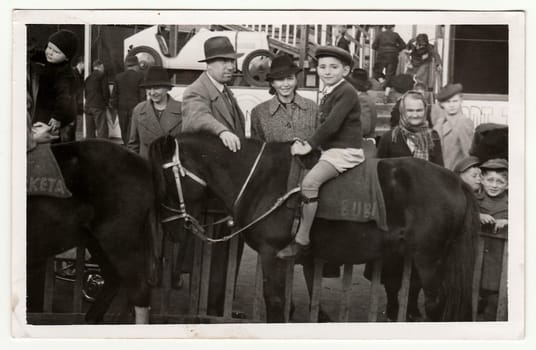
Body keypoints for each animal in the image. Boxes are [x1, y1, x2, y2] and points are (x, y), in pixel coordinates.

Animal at [149, 133, 480, 322]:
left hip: (429, 258)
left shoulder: (271, 254)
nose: (170, 229)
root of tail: (455, 180)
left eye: (165, 181)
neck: (261, 179)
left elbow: (275, 302)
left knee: (436, 303)